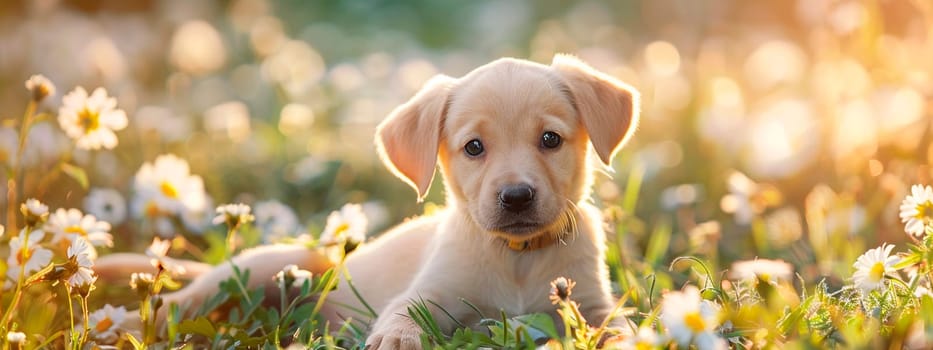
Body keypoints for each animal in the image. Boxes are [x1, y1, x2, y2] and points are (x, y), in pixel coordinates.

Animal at [94, 53, 636, 348]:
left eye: (550, 140)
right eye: (474, 148)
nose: (517, 196)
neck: (518, 259)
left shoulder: (591, 303)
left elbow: (623, 325)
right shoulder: (429, 292)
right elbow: (402, 313)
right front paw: (397, 339)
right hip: (257, 269)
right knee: (176, 303)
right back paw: (122, 322)